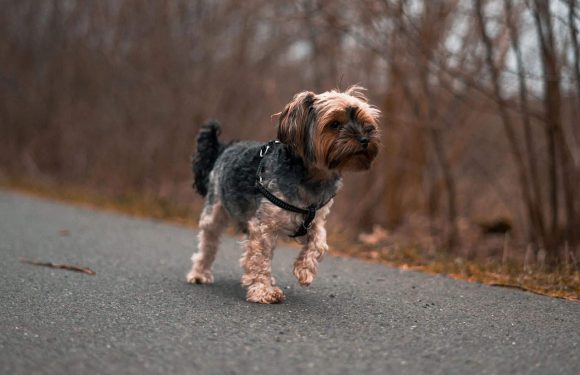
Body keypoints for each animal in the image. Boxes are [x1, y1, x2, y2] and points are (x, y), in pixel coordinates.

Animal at [186, 86, 382, 304]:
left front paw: (304, 270)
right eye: (334, 124)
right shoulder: (264, 226)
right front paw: (263, 290)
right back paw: (200, 274)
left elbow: (319, 243)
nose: (365, 139)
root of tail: (225, 148)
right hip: (215, 208)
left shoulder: (314, 221)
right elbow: (260, 257)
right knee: (208, 242)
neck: (312, 177)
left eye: (365, 122)